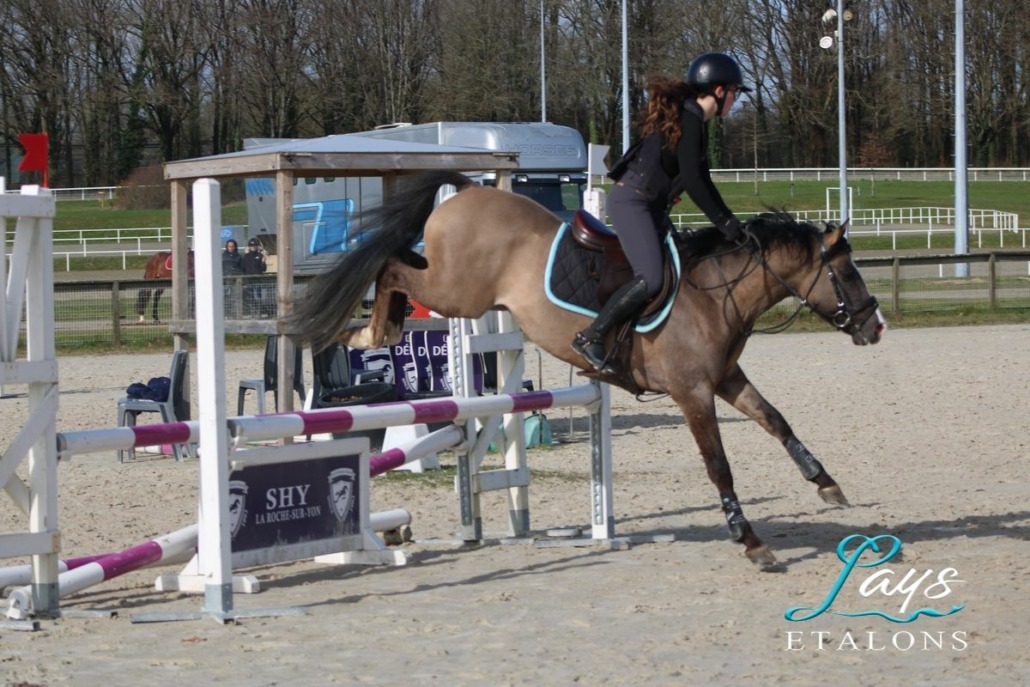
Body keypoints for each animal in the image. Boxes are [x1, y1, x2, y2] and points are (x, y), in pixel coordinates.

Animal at [287, 170, 886, 568]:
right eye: (847, 273)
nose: (875, 326)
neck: (715, 294)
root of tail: (468, 191)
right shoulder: (693, 393)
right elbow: (719, 465)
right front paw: (751, 540)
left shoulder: (725, 380)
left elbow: (776, 419)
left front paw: (825, 483)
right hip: (456, 291)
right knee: (391, 265)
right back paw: (368, 333)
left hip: (457, 290)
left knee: (398, 262)